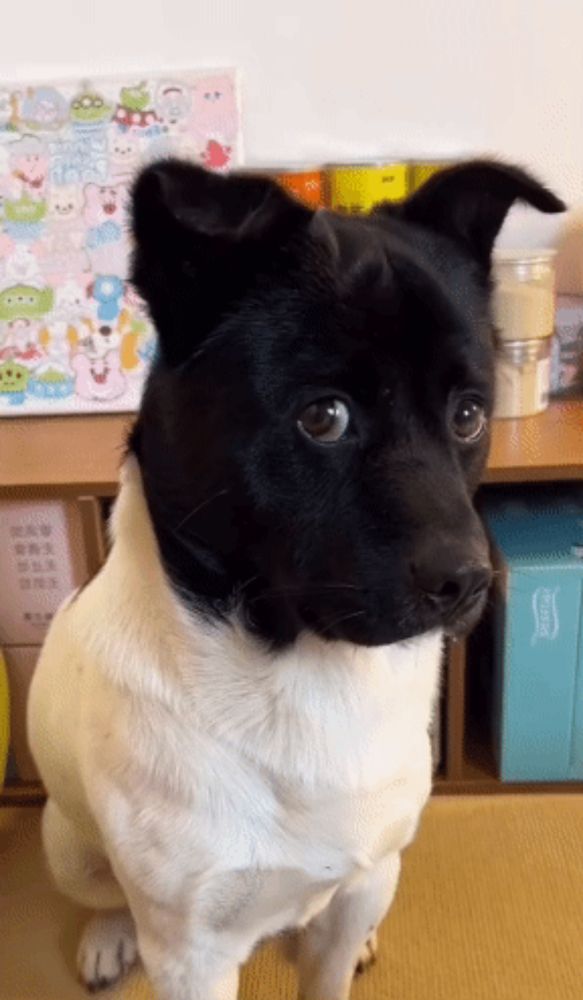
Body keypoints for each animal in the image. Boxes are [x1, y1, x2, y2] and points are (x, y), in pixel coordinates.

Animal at [28, 160, 564, 996]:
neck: (300, 678)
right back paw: (109, 937)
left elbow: (331, 967)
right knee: (106, 893)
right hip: (69, 847)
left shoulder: (369, 872)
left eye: (469, 415)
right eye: (323, 417)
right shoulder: (190, 952)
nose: (471, 582)